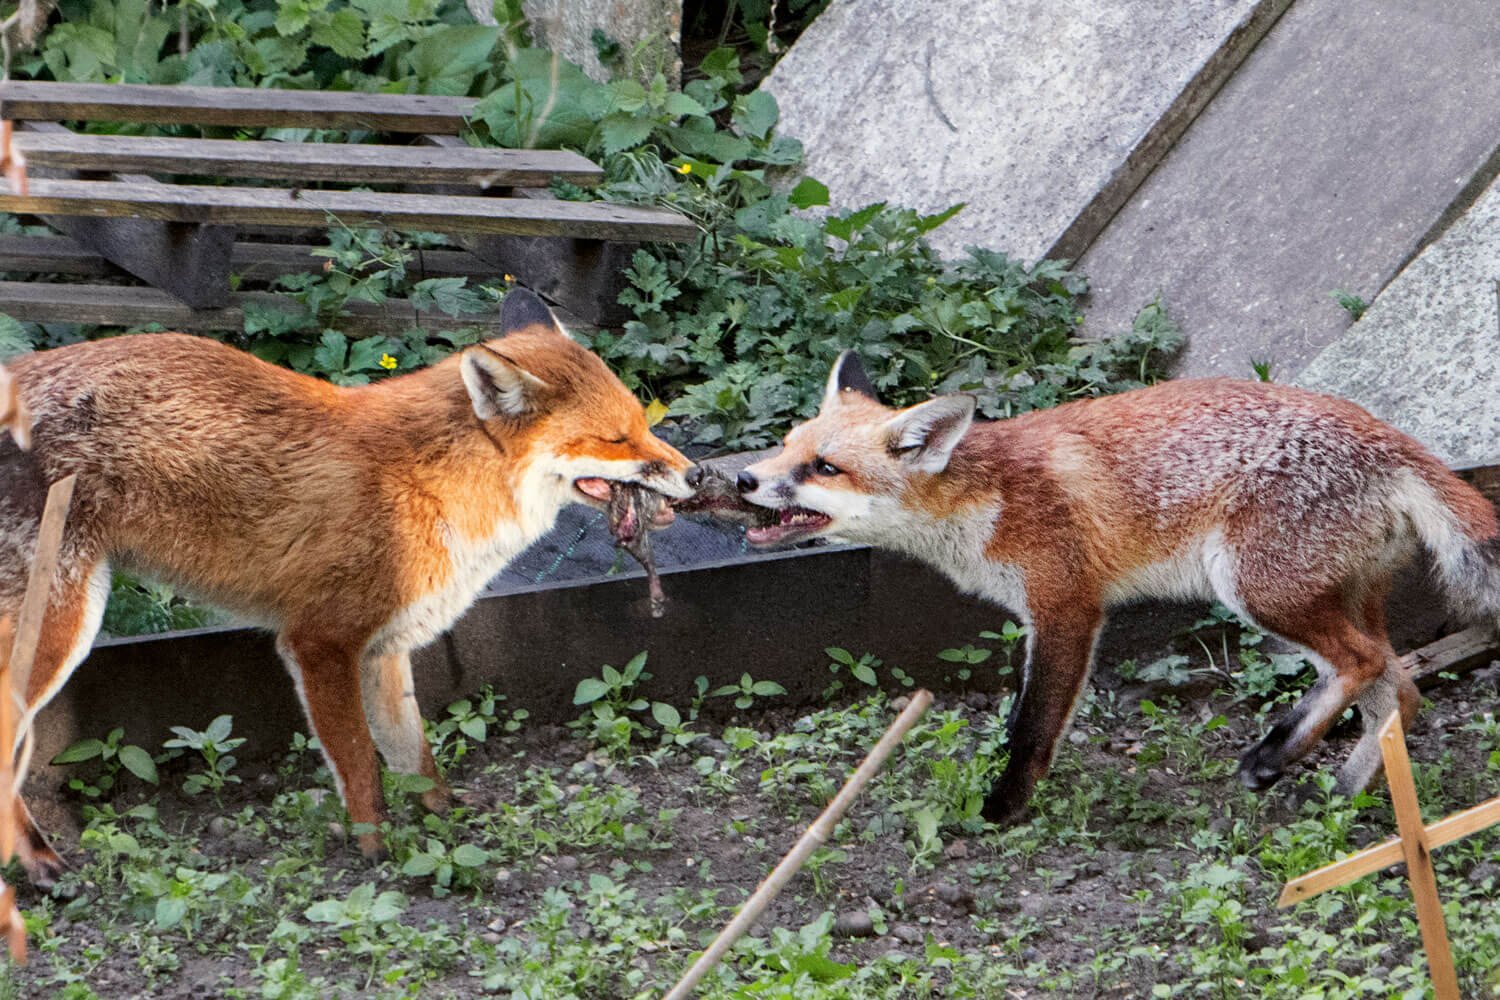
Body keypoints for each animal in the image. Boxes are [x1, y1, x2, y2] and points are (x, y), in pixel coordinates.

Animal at [0, 288, 693, 886]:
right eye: (615, 439)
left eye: (643, 423)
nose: (698, 477)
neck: (434, 484)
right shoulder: (320, 642)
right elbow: (360, 762)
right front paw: (375, 850)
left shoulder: (387, 647)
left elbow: (413, 755)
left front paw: (446, 823)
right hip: (61, 627)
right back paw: (39, 866)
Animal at [736, 352, 1500, 826]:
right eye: (786, 444)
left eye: (824, 467)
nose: (743, 478)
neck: (990, 499)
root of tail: (1397, 441)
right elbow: (1020, 720)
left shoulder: (1066, 609)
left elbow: (1032, 726)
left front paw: (1003, 809)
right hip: (1329, 601)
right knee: (1402, 690)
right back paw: (1345, 798)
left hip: (1256, 592)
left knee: (1364, 666)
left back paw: (1276, 754)